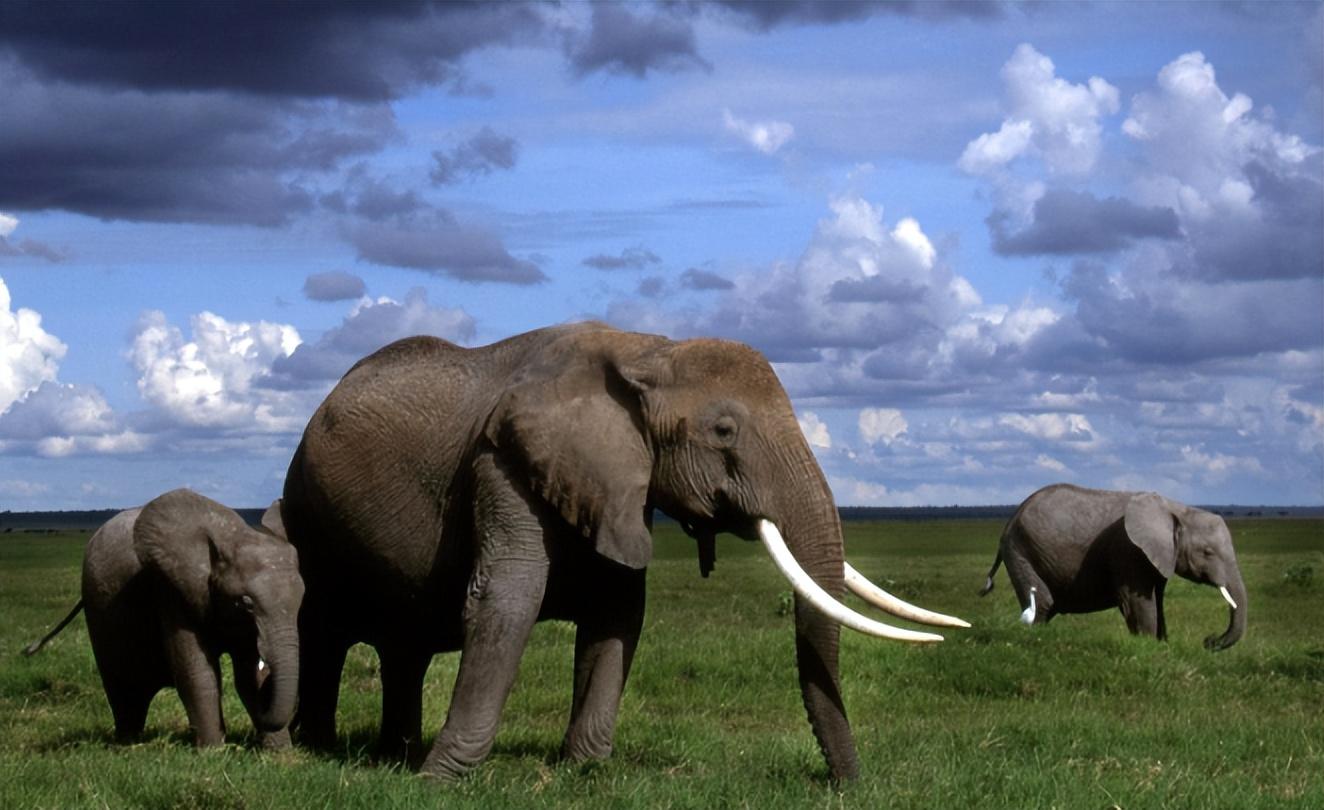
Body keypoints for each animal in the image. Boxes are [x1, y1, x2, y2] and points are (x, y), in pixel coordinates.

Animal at [23, 489, 304, 747]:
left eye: (301, 600)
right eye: (246, 603)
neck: (232, 536)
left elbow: (248, 676)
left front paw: (280, 754)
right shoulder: (172, 589)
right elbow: (196, 671)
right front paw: (213, 752)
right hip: (98, 607)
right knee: (124, 688)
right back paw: (128, 743)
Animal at [282, 321, 968, 782]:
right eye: (723, 431)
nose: (846, 784)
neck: (646, 351)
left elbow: (618, 611)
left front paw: (584, 770)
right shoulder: (504, 461)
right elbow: (506, 600)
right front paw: (442, 779)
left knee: (406, 646)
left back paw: (392, 752)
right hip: (307, 512)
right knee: (324, 630)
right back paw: (318, 748)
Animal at [979, 484, 1246, 650]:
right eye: (1208, 552)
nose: (1208, 641)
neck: (1176, 509)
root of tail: (1010, 520)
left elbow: (1157, 601)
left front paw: (1162, 645)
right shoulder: (1128, 551)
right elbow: (1138, 603)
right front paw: (1148, 647)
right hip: (1020, 550)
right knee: (1043, 603)